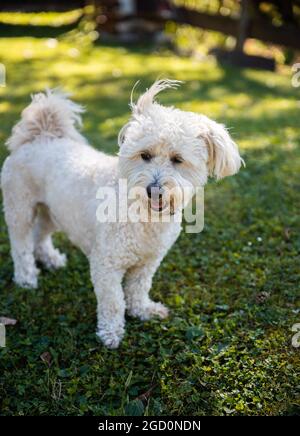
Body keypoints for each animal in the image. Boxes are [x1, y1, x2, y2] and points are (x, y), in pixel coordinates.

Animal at [1, 80, 243, 350]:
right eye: (145, 155)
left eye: (177, 159)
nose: (154, 189)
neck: (143, 214)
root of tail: (39, 137)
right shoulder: (106, 264)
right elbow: (114, 301)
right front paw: (111, 332)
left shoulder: (148, 262)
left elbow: (138, 289)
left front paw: (143, 310)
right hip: (19, 208)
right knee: (21, 245)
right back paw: (26, 277)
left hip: (54, 212)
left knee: (40, 235)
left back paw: (50, 259)